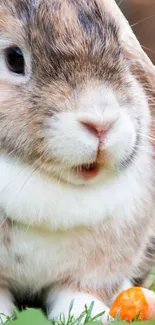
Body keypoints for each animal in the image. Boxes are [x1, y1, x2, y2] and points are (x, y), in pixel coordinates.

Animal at [0, 0, 155, 322]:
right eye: (14, 59)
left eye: (118, 51)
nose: (101, 123)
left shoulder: (97, 269)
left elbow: (78, 292)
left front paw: (89, 315)